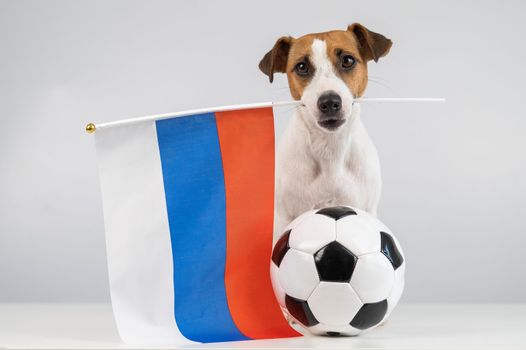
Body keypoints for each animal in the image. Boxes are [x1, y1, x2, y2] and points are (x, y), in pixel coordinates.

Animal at [262, 23, 394, 237]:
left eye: (347, 60)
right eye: (301, 67)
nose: (329, 102)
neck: (330, 148)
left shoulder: (367, 209)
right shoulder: (284, 219)